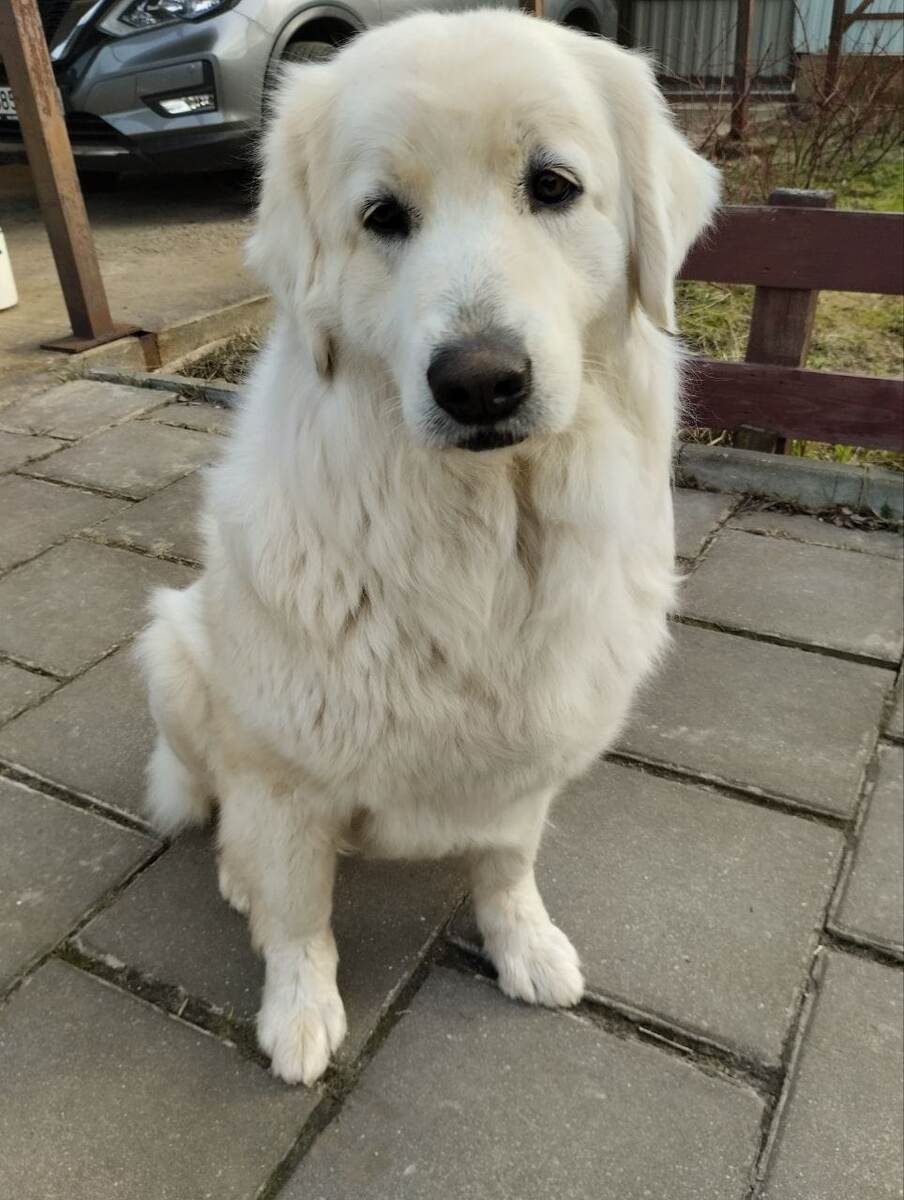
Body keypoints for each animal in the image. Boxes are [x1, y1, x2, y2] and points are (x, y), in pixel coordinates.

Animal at [139, 11, 720, 1089]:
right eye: (382, 215)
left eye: (553, 186)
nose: (480, 382)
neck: (483, 543)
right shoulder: (283, 775)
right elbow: (300, 913)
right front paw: (299, 1011)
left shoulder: (534, 752)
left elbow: (507, 861)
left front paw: (524, 942)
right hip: (173, 645)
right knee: (215, 803)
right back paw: (236, 873)